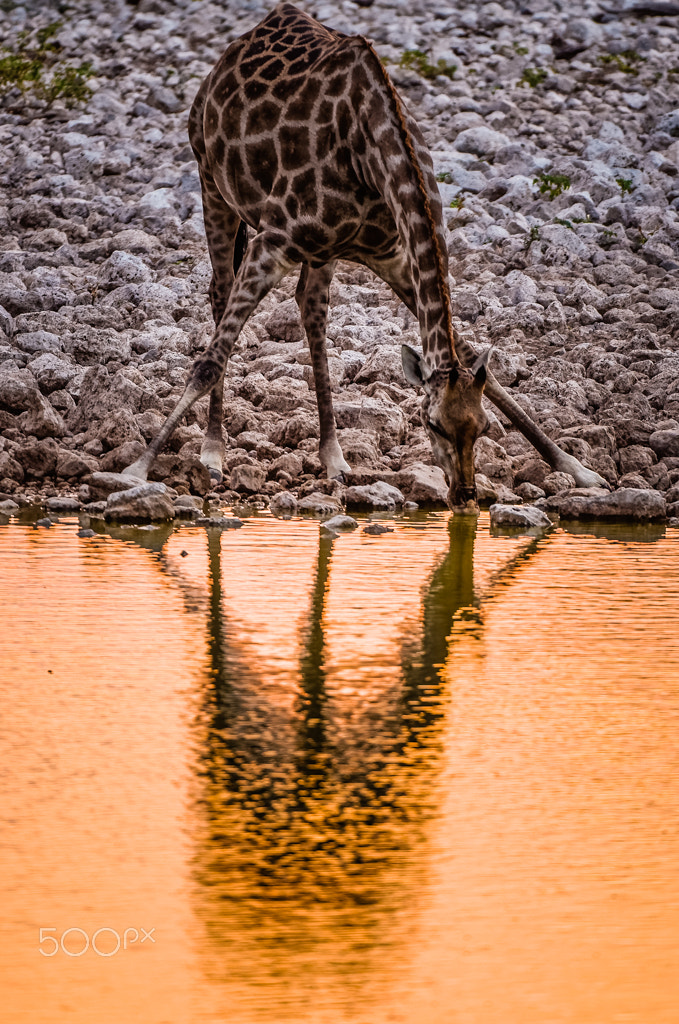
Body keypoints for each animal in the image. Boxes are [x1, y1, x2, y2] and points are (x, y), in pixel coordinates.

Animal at [123, 2, 607, 508]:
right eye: (431, 424)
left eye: (483, 427)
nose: (465, 494)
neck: (374, 155)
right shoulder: (271, 243)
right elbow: (208, 363)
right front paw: (137, 470)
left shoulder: (392, 254)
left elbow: (479, 363)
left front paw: (577, 468)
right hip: (210, 180)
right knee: (220, 293)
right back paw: (214, 451)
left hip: (321, 250)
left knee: (311, 308)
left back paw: (334, 457)